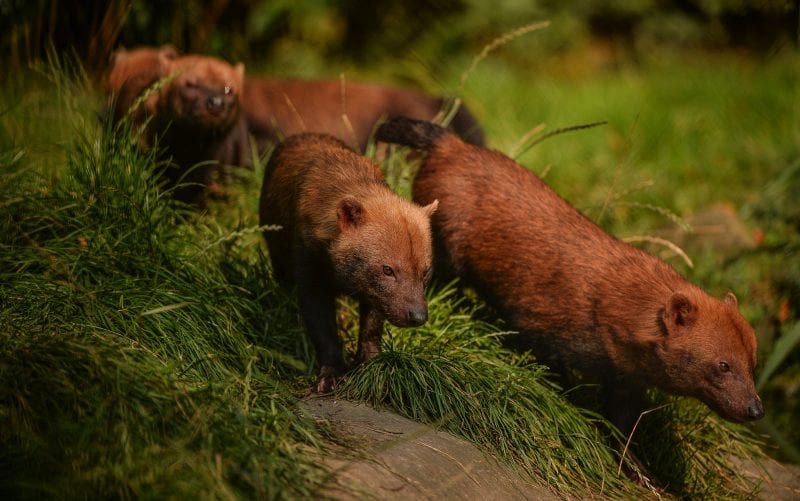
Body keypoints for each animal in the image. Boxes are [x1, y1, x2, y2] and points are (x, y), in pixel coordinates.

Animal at [260, 132, 438, 390]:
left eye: (425, 272)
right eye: (388, 270)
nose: (417, 316)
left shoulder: (373, 293)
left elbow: (372, 326)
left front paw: (371, 363)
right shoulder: (309, 268)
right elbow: (322, 328)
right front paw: (332, 374)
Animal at [378, 115, 764, 436]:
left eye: (753, 363)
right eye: (723, 364)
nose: (756, 409)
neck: (614, 302)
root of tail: (452, 144)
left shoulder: (626, 383)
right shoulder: (540, 328)